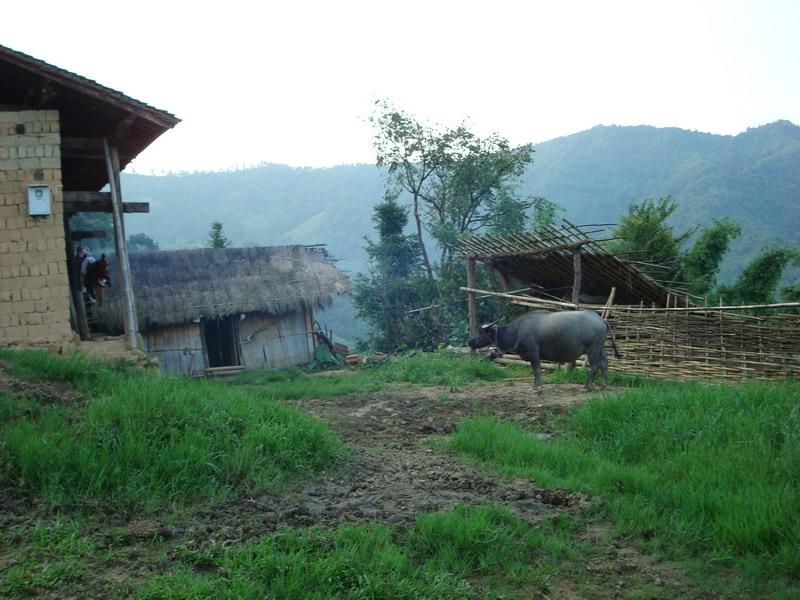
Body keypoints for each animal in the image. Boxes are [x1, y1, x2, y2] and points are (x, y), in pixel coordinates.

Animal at [468, 312, 620, 392]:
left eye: (482, 332)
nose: (470, 341)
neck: (518, 331)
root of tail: (601, 319)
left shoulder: (534, 353)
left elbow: (536, 369)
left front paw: (539, 386)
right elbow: (533, 370)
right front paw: (534, 385)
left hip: (592, 348)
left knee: (595, 365)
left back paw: (587, 386)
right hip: (600, 348)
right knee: (604, 363)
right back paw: (603, 385)